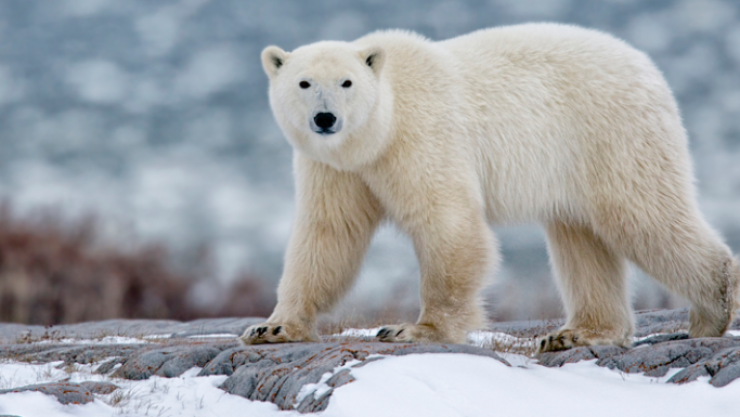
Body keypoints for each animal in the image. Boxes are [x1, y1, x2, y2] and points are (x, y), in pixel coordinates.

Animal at [239, 23, 740, 352]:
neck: (380, 129)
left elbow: (447, 223)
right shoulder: (335, 167)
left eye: (346, 82)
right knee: (581, 239)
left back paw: (712, 309)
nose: (326, 119)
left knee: (642, 215)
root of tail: (648, 68)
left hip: (611, 134)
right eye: (304, 82)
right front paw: (272, 328)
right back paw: (575, 332)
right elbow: (328, 235)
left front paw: (413, 329)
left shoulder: (422, 137)